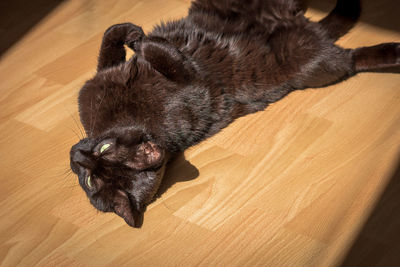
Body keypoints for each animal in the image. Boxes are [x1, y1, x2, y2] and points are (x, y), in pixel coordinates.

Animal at [69, 0, 400, 228]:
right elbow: (115, 52)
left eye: (105, 148)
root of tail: (301, 24)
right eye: (90, 181)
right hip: (317, 65)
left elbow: (113, 40)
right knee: (353, 59)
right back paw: (393, 51)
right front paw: (138, 38)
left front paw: (136, 36)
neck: (130, 117)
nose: (76, 157)